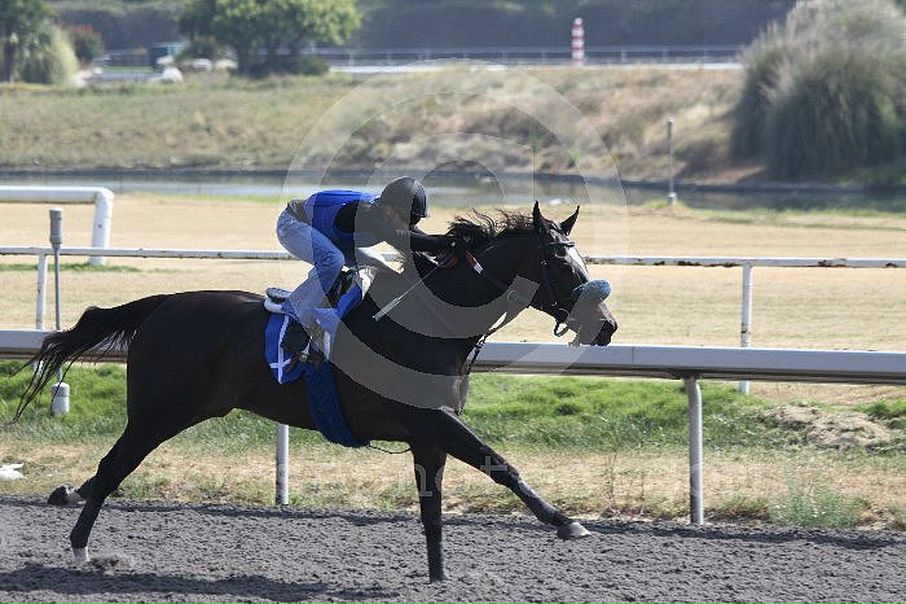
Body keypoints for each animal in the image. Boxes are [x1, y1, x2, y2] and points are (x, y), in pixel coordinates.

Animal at [16, 202, 618, 582]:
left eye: (581, 258)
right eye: (560, 261)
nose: (607, 326)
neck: (429, 326)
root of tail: (163, 303)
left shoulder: (428, 433)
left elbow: (433, 508)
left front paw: (438, 576)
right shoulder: (435, 420)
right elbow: (501, 464)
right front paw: (567, 523)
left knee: (109, 468)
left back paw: (70, 503)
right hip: (158, 411)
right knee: (113, 467)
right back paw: (80, 549)